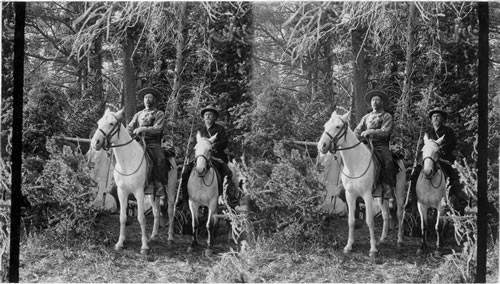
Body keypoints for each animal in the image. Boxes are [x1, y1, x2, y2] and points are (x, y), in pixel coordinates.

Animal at [92, 107, 178, 254]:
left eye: (111, 123)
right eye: (98, 122)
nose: (95, 142)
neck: (127, 161)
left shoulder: (138, 193)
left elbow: (141, 218)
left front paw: (144, 247)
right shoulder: (122, 193)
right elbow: (122, 217)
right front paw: (120, 243)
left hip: (170, 190)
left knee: (171, 212)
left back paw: (170, 238)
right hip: (153, 194)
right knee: (156, 212)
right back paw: (153, 236)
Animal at [318, 110, 408, 258]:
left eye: (337, 126)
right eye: (325, 126)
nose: (322, 146)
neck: (355, 164)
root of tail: (398, 157)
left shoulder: (366, 195)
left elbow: (369, 221)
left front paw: (373, 249)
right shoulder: (350, 195)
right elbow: (351, 220)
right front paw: (349, 246)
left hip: (399, 191)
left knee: (400, 213)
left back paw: (400, 241)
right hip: (381, 195)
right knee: (385, 214)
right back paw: (382, 239)